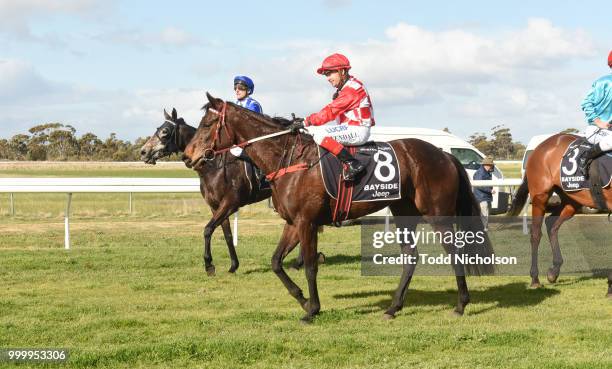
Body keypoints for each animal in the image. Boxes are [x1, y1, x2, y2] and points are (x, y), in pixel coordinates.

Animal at [141, 108, 272, 274]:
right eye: (158, 128)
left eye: (165, 131)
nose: (143, 152)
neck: (214, 166)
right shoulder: (215, 206)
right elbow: (227, 234)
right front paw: (233, 265)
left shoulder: (230, 203)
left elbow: (208, 229)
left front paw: (209, 264)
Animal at [180, 93, 492, 320]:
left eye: (206, 125)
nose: (187, 156)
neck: (289, 159)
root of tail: (444, 154)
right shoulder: (293, 222)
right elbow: (276, 262)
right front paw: (303, 300)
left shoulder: (306, 222)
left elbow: (309, 267)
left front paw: (313, 309)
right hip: (404, 212)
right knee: (411, 257)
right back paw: (393, 308)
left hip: (437, 213)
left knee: (455, 252)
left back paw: (461, 304)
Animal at [506, 133, 612, 296]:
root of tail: (541, 146)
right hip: (540, 196)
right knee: (536, 233)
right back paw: (535, 279)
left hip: (572, 199)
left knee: (551, 224)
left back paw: (554, 270)